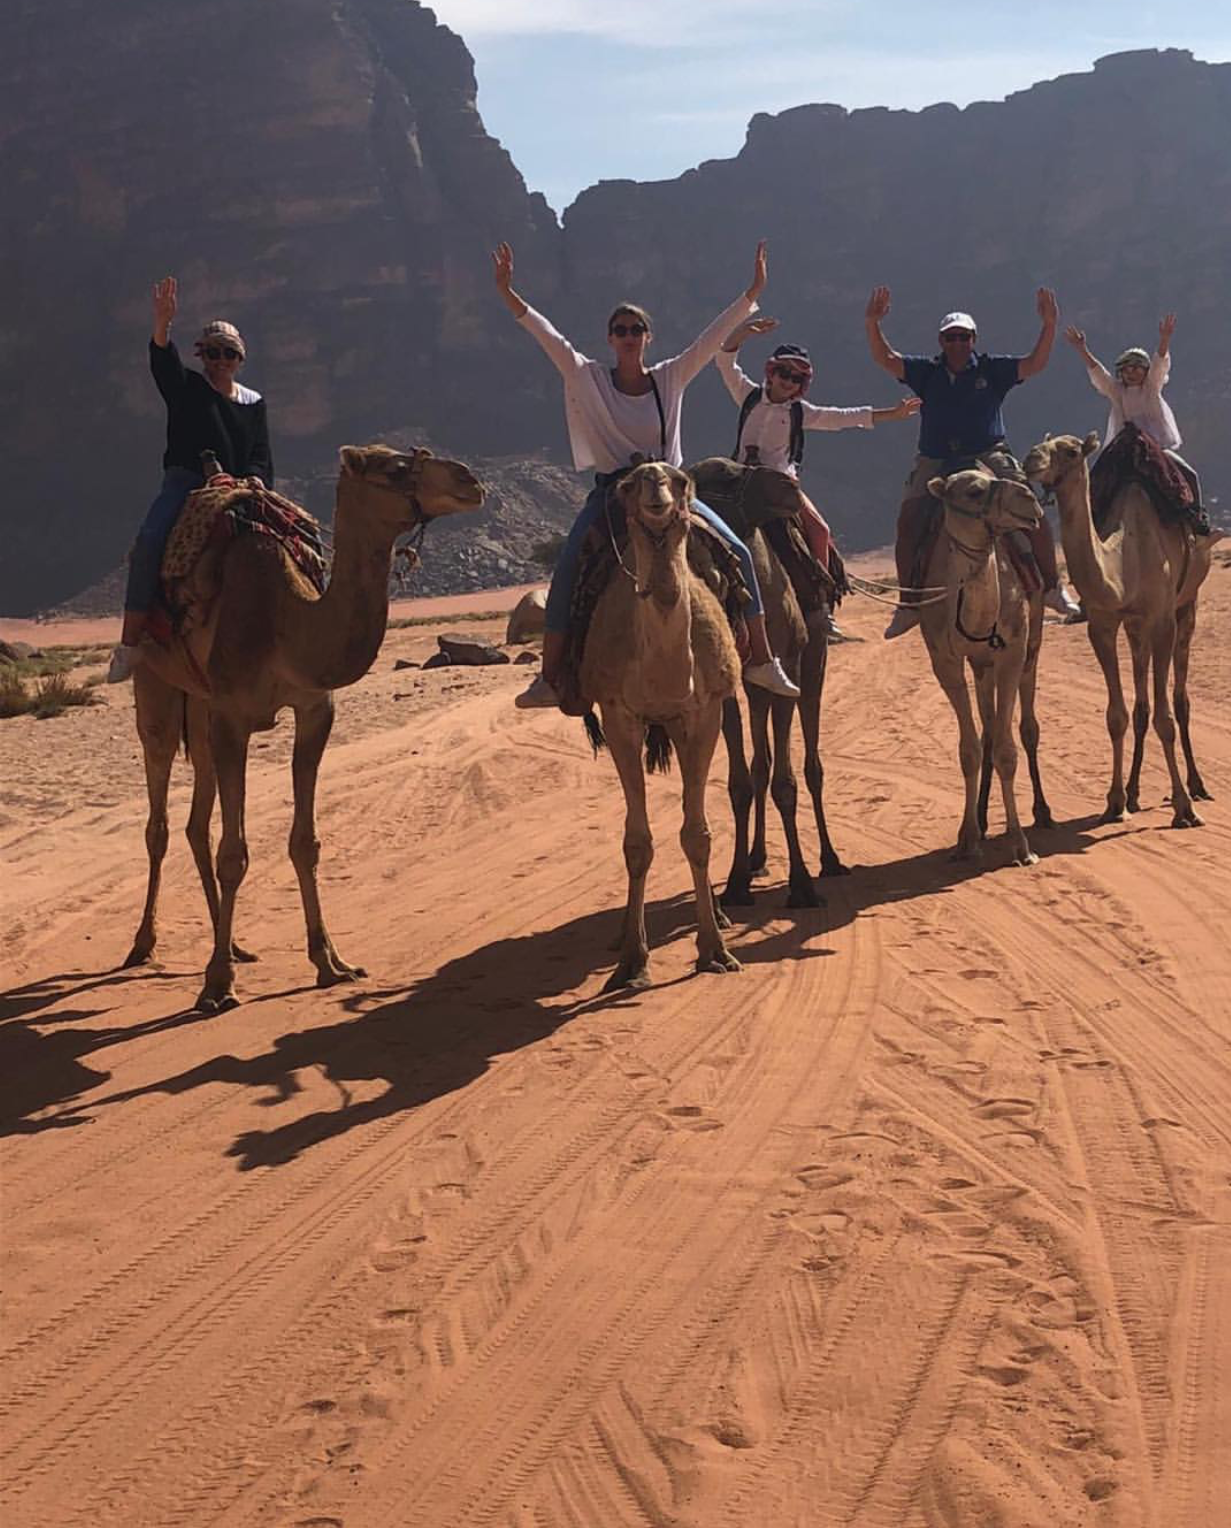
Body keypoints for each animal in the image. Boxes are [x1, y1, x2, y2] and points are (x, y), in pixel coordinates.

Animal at [126, 445, 484, 1011]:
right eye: (394, 467)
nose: (470, 481)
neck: (285, 623)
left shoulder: (315, 710)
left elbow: (304, 843)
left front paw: (330, 962)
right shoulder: (233, 716)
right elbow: (235, 853)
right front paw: (217, 984)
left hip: (200, 708)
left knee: (195, 823)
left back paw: (234, 943)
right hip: (156, 688)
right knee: (159, 821)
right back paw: (145, 944)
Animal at [579, 462, 742, 991]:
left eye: (681, 480)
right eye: (628, 485)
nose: (654, 481)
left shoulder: (704, 711)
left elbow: (698, 834)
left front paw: (715, 950)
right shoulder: (618, 715)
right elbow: (637, 842)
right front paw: (633, 960)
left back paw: (721, 914)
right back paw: (619, 936)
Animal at [688, 458, 845, 908]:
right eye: (726, 475)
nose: (790, 487)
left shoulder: (789, 662)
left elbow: (786, 783)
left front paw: (802, 883)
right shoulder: (725, 686)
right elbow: (742, 782)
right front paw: (737, 881)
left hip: (813, 661)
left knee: (811, 761)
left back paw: (830, 859)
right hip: (759, 685)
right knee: (762, 762)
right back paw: (756, 857)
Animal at [916, 469, 1052, 866]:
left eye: (994, 476)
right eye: (974, 491)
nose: (1029, 499)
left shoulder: (1012, 652)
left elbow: (1007, 750)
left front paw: (1021, 845)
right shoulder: (945, 661)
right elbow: (971, 750)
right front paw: (967, 839)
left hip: (1030, 647)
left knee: (1026, 728)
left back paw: (1042, 811)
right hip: (980, 665)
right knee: (988, 730)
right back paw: (981, 817)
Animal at [1023, 432, 1217, 827]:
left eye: (1070, 451)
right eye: (1043, 444)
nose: (1031, 459)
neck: (1127, 556)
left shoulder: (1162, 619)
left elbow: (1166, 718)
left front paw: (1183, 807)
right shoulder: (1103, 623)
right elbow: (1118, 716)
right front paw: (1114, 802)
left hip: (1186, 605)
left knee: (1180, 699)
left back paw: (1197, 786)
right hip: (1135, 627)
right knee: (1141, 704)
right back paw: (1134, 791)